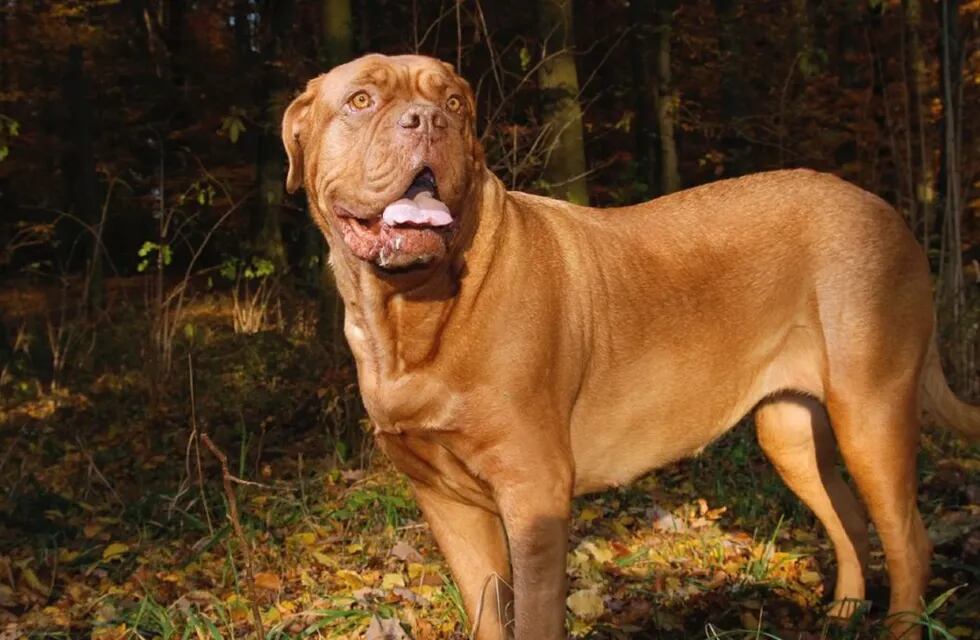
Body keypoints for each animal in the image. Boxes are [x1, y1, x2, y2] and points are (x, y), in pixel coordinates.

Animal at [284, 56, 980, 640]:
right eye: (361, 99)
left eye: (454, 103)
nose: (429, 121)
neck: (412, 314)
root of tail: (892, 216)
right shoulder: (445, 500)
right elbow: (488, 616)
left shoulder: (534, 491)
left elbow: (535, 618)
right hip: (791, 430)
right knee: (850, 519)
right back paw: (844, 609)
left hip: (871, 410)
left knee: (909, 541)